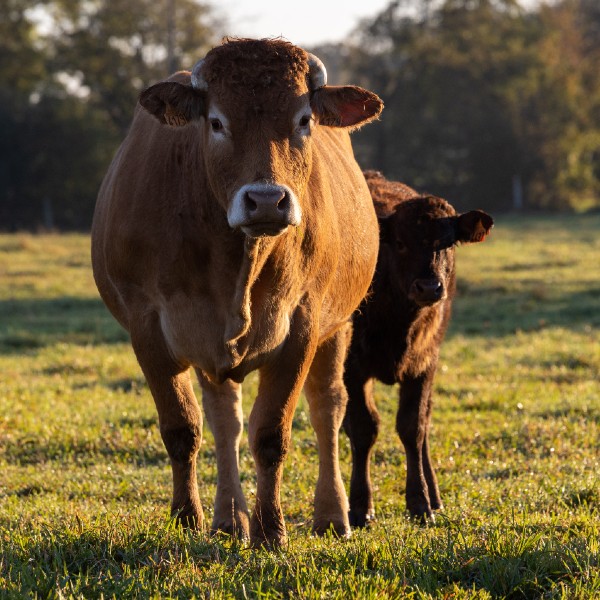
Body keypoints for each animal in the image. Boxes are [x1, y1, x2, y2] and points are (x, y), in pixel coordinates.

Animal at [92, 36, 384, 544]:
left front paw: (271, 531)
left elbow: (271, 433)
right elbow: (182, 428)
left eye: (303, 120)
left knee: (327, 408)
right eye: (216, 122)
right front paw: (186, 518)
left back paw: (332, 515)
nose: (267, 200)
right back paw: (229, 519)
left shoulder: (302, 325)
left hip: (338, 325)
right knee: (224, 418)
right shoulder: (147, 326)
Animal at [342, 169, 492, 524]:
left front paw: (421, 502)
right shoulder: (352, 367)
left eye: (448, 242)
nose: (429, 287)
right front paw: (360, 506)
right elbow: (363, 428)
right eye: (399, 243)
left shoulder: (425, 363)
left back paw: (434, 495)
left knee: (424, 422)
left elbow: (413, 427)